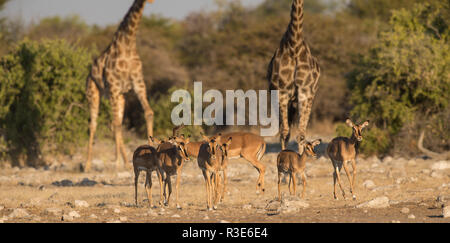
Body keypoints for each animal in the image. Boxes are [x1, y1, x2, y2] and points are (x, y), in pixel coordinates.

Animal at [85, 0, 156, 172]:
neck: (128, 45)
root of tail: (88, 75)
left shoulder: (138, 84)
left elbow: (148, 113)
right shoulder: (113, 87)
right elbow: (116, 125)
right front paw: (116, 162)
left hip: (121, 97)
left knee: (115, 122)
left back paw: (126, 162)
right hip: (94, 93)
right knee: (94, 125)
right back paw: (87, 165)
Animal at [268, 0, 320, 154]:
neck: (294, 45)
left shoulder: (304, 92)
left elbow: (301, 134)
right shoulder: (281, 92)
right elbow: (285, 132)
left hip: (306, 98)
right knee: (284, 129)